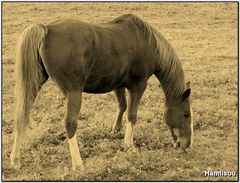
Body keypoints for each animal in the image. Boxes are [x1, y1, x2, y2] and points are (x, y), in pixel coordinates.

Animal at [10, 13, 193, 171]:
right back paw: (78, 164)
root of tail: (47, 28)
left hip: (34, 84)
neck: (148, 41)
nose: (186, 144)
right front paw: (129, 145)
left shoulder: (118, 84)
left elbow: (122, 106)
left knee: (22, 115)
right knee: (70, 124)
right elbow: (132, 115)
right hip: (74, 93)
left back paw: (15, 159)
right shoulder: (138, 85)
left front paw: (115, 130)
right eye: (186, 114)